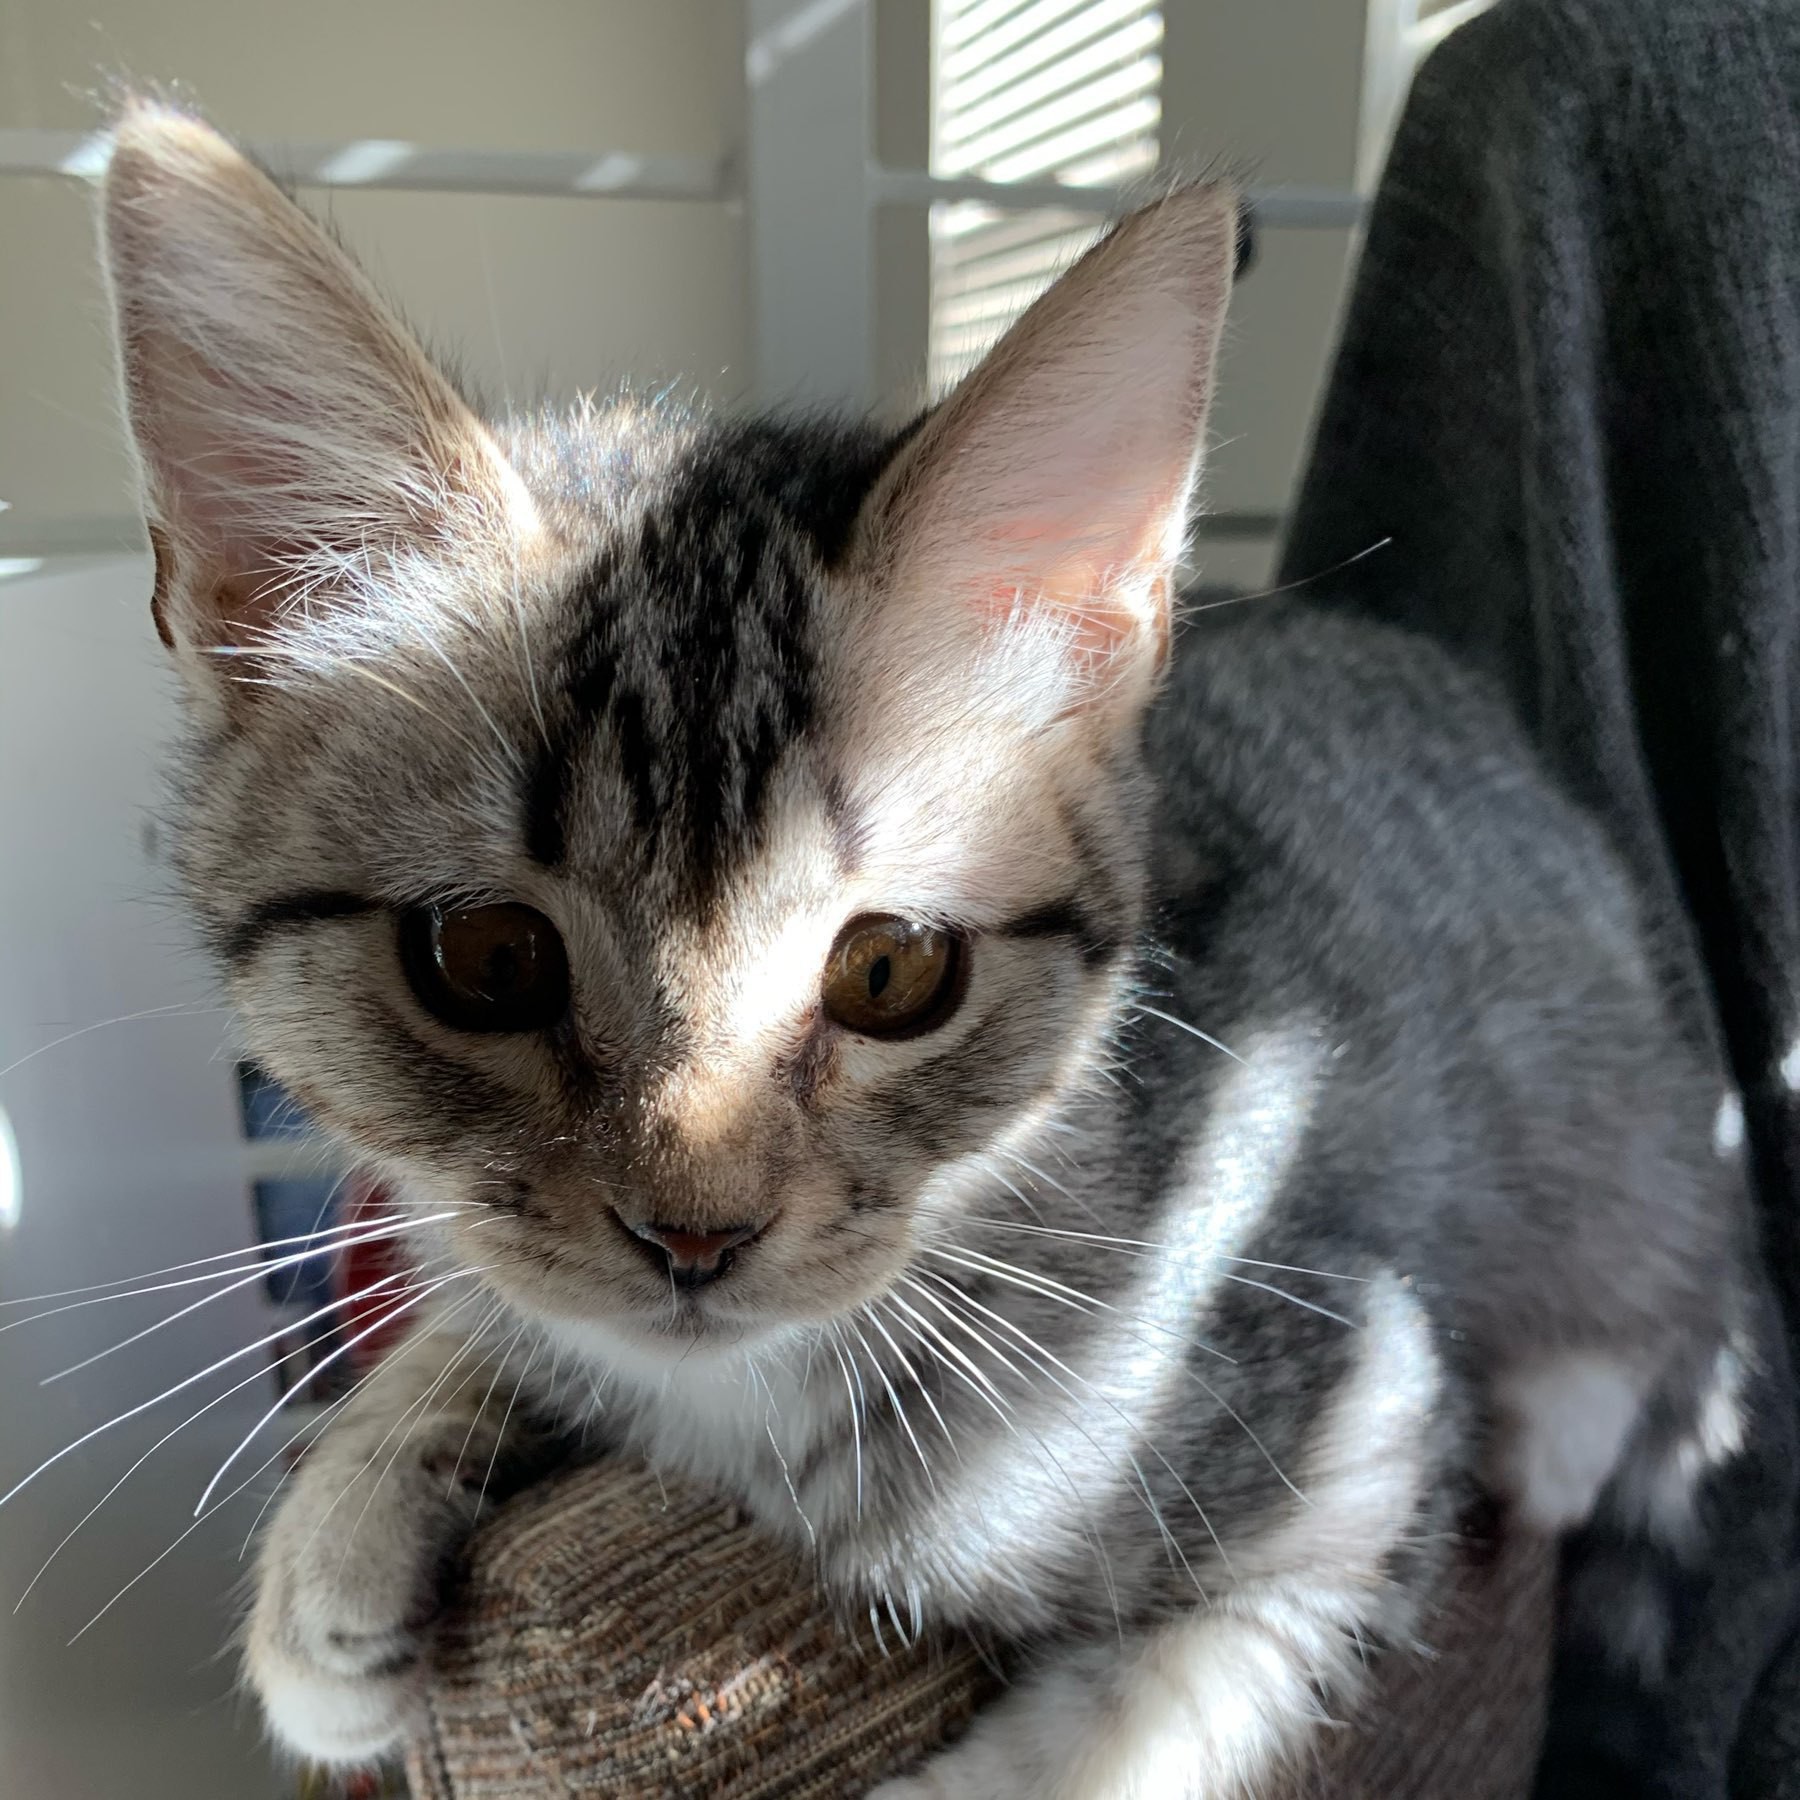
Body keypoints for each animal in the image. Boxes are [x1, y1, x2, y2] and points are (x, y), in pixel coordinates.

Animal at [94, 102, 1756, 1800]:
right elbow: (494, 1303)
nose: (695, 1237)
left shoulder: (1345, 1422)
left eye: (892, 972)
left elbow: (1133, 1725)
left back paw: (1571, 1416)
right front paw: (346, 1526)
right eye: (485, 958)